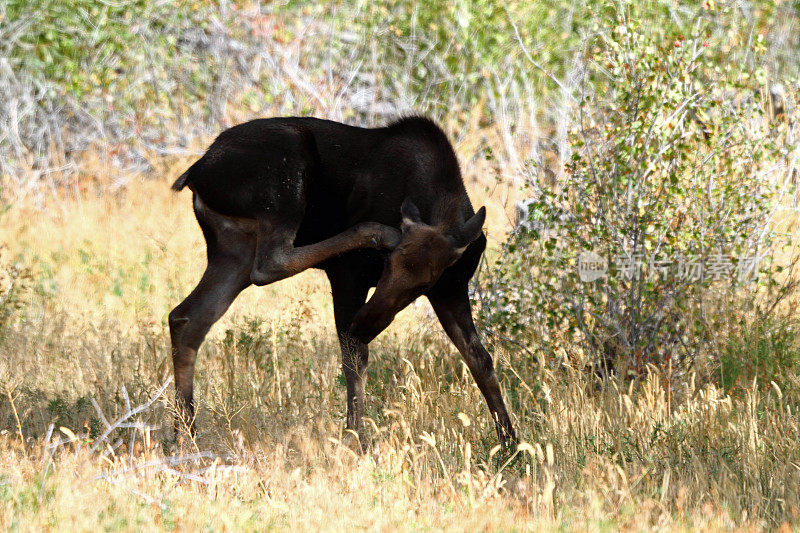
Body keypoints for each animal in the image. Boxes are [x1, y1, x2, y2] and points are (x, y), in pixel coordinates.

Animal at [170, 115, 520, 444]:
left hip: (232, 248)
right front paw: (355, 440)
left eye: (424, 284)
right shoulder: (347, 276)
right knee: (271, 261)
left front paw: (510, 443)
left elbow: (480, 360)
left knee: (187, 316)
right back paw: (377, 231)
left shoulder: (451, 289)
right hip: (284, 182)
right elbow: (354, 359)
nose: (364, 324)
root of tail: (195, 174)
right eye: (387, 264)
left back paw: (184, 431)